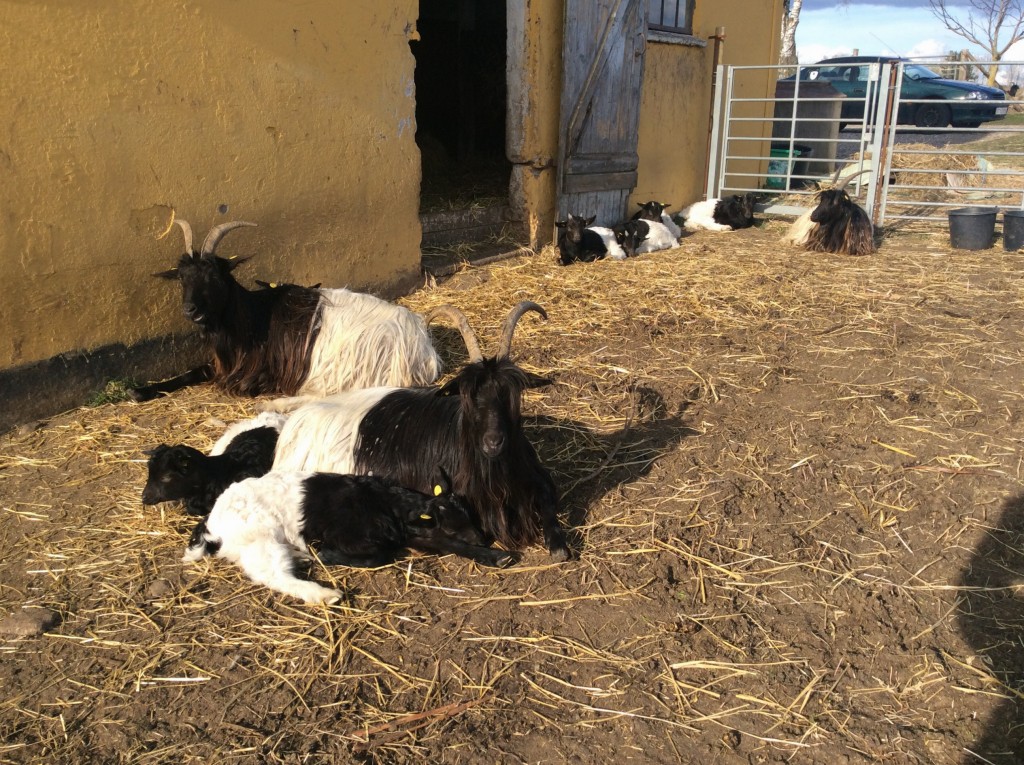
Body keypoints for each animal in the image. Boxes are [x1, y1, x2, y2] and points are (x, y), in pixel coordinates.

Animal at [130, 218, 438, 401]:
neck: (253, 318)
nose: (190, 310)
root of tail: (423, 352)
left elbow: (238, 385)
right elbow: (194, 371)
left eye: (215, 277)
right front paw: (140, 391)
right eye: (182, 278)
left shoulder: (265, 372)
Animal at [184, 469, 512, 602]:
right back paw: (324, 594)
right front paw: (326, 554)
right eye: (452, 521)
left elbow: (447, 544)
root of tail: (212, 521)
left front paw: (498, 557)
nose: (483, 538)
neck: (384, 504)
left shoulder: (413, 533)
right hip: (261, 538)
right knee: (271, 574)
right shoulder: (352, 537)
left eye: (470, 514)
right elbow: (378, 556)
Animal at [264, 303, 573, 561]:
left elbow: (548, 499)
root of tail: (292, 428)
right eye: (468, 396)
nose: (493, 442)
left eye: (511, 394)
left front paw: (559, 547)